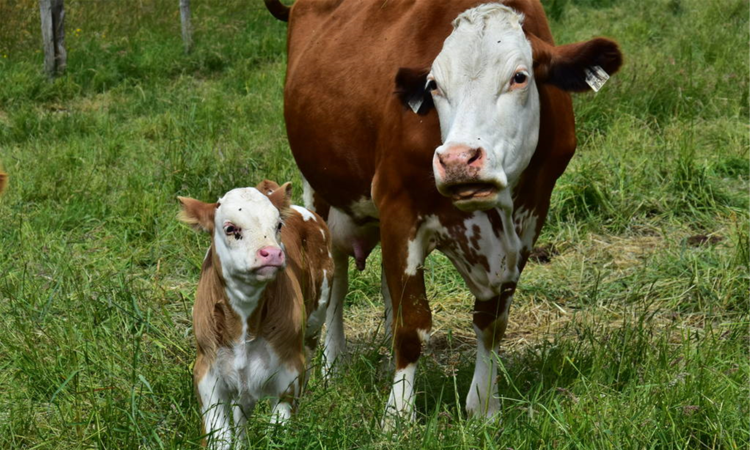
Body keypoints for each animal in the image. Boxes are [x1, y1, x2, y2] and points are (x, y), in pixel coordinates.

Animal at [179, 181, 332, 448]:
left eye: (278, 225)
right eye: (230, 228)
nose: (272, 253)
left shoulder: (290, 373)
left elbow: (278, 433)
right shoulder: (207, 374)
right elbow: (220, 436)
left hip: (316, 317)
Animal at [264, 0, 624, 426]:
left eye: (519, 77)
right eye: (435, 85)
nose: (457, 160)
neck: (492, 219)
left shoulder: (529, 220)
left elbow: (491, 323)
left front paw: (484, 406)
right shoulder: (399, 209)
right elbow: (412, 324)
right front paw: (398, 415)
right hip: (319, 190)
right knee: (335, 275)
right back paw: (332, 364)